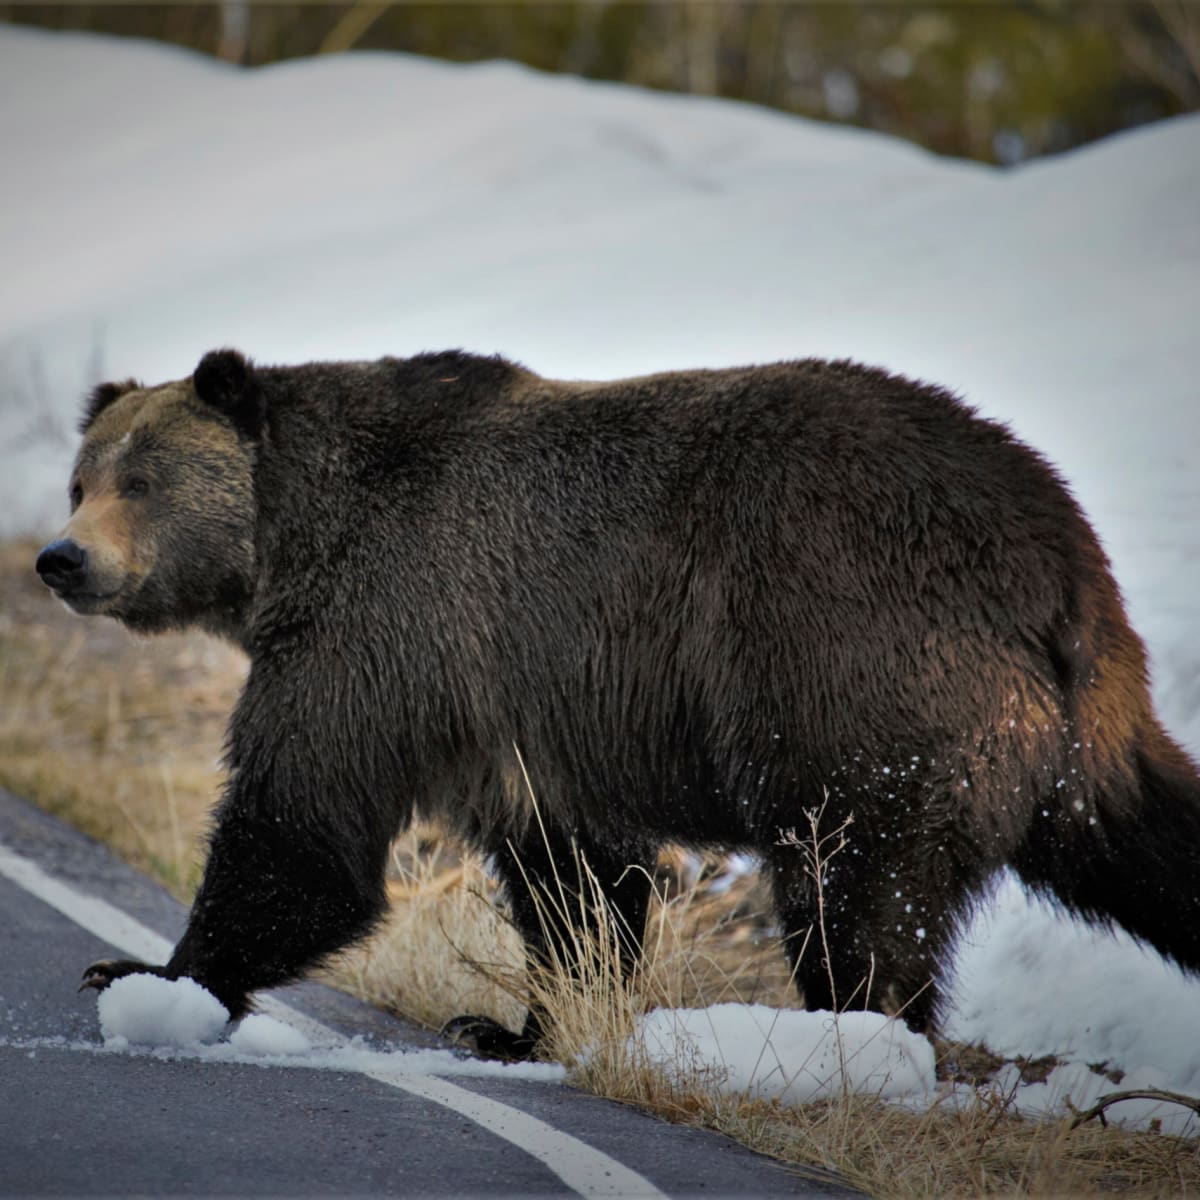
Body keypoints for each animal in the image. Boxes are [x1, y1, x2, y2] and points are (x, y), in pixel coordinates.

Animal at [35, 348, 1200, 1060]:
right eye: (80, 479)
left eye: (141, 480)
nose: (60, 559)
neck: (290, 547)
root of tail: (1060, 554)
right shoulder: (517, 716)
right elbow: (577, 880)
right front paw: (514, 1026)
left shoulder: (386, 630)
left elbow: (303, 828)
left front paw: (146, 972)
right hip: (1082, 735)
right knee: (1147, 838)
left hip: (857, 674)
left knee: (858, 894)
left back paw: (857, 1042)